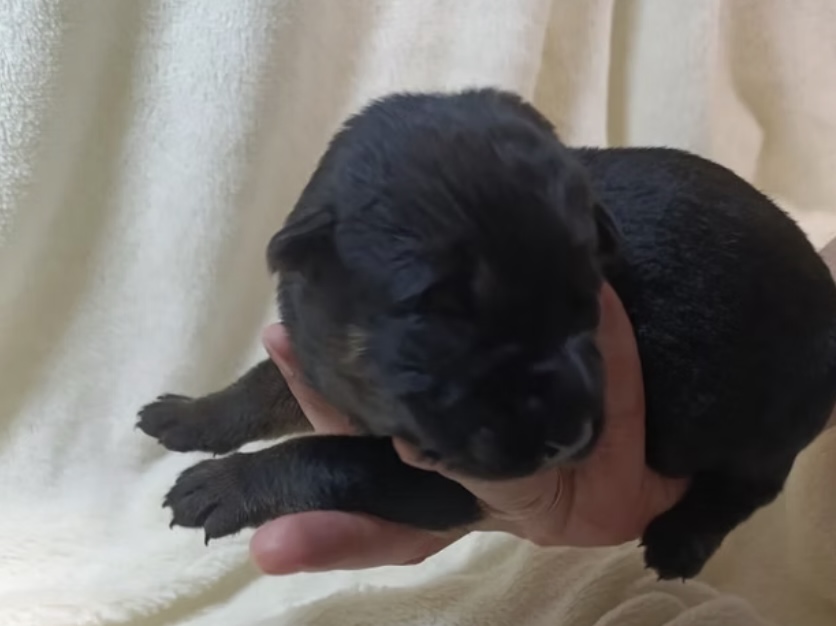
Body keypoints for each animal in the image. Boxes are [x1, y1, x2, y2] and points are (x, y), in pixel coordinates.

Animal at [137, 88, 836, 580]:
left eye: (590, 304)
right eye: (439, 318)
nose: (571, 437)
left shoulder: (443, 478)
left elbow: (330, 457)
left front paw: (223, 485)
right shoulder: (319, 357)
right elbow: (264, 385)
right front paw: (190, 415)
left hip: (773, 418)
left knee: (752, 485)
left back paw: (680, 540)